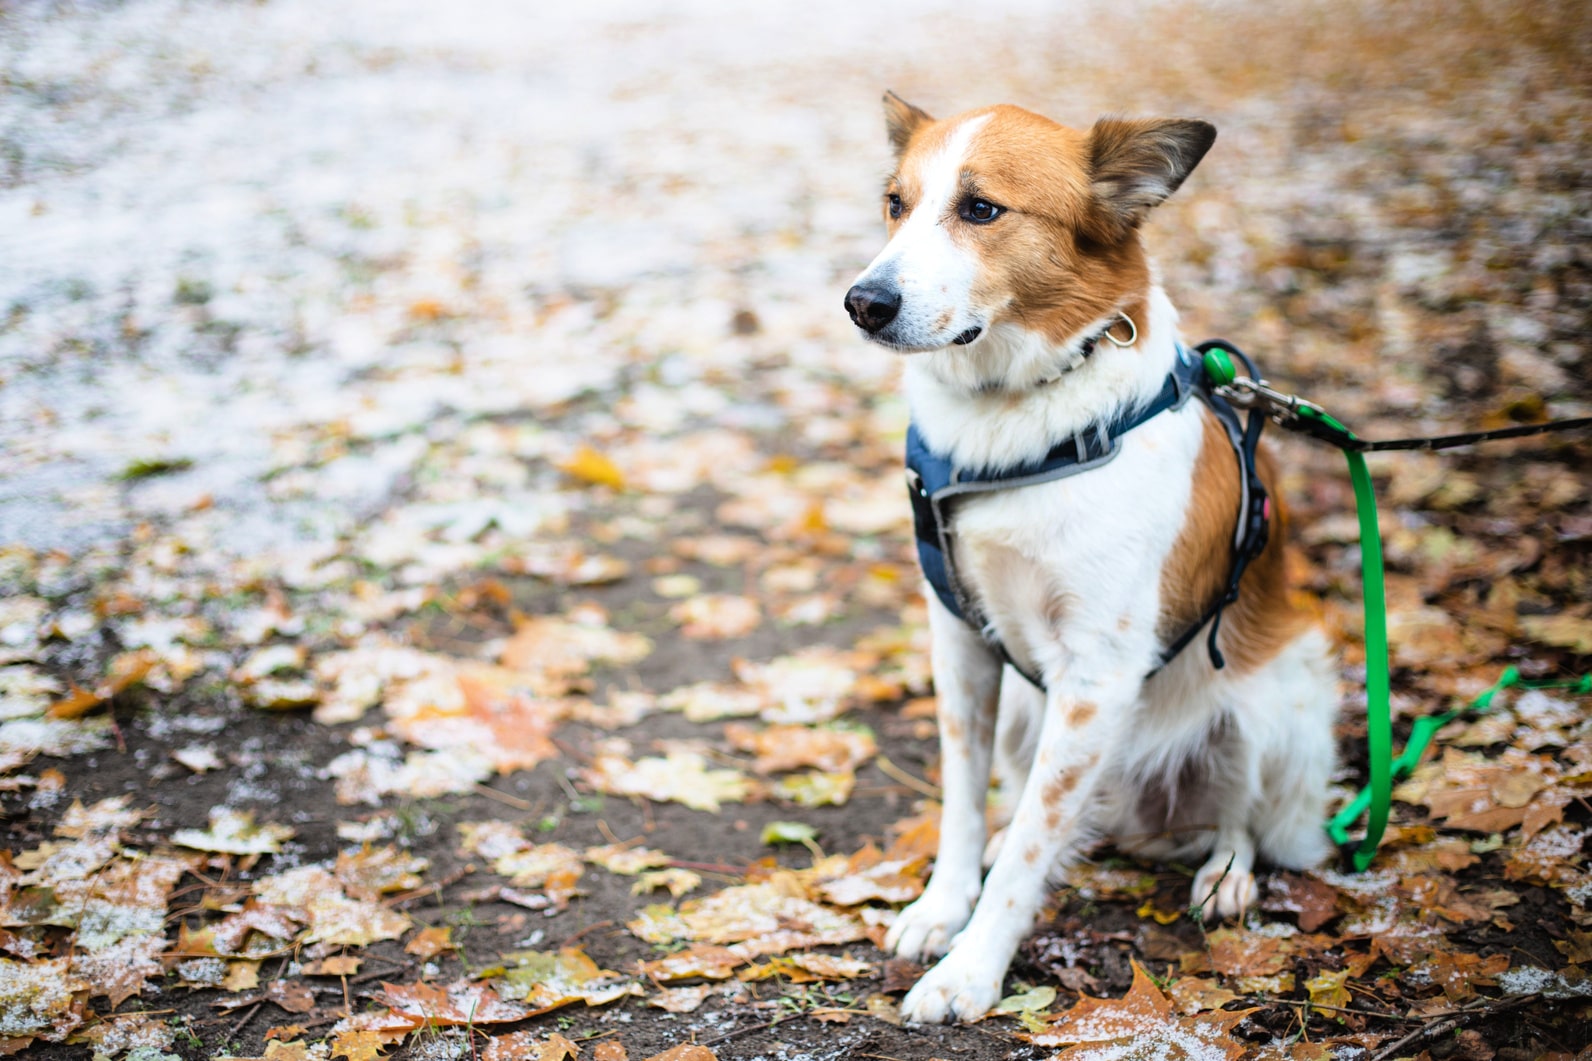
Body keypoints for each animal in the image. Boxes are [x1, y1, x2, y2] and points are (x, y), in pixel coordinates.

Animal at [840, 95, 1337, 1019]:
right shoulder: (959, 644)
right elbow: (963, 799)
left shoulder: (1096, 675)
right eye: (895, 203)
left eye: (981, 209)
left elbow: (1035, 849)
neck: (1020, 418)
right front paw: (943, 905)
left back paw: (1228, 873)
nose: (863, 302)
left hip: (1274, 699)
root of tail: (1144, 819)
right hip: (1026, 712)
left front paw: (969, 970)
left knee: (1246, 815)